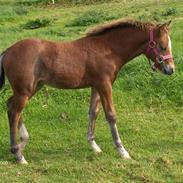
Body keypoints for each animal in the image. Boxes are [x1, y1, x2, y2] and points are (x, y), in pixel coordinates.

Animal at [0, 19, 174, 164]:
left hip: (34, 87)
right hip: (24, 91)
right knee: (14, 112)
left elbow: (93, 112)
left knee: (10, 106)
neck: (108, 49)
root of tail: (6, 51)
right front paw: (122, 151)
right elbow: (111, 115)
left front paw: (94, 146)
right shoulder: (105, 85)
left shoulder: (96, 86)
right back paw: (18, 154)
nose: (171, 69)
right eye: (163, 46)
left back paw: (22, 143)